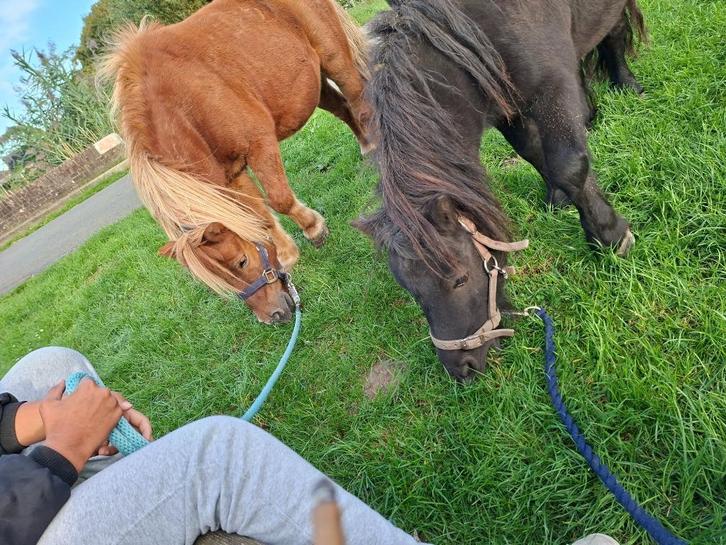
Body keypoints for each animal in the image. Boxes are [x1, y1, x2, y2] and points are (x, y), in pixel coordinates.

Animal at [100, 0, 370, 324]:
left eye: (241, 262)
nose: (274, 316)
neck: (186, 106)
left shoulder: (259, 145)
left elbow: (278, 199)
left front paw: (314, 229)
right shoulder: (231, 175)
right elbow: (258, 217)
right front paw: (288, 255)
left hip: (334, 59)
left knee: (358, 98)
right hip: (313, 81)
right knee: (343, 108)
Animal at [355, 0, 646, 381]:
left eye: (460, 280)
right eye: (411, 290)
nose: (462, 368)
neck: (473, 25)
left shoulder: (551, 89)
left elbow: (570, 166)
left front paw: (609, 236)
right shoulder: (506, 103)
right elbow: (532, 150)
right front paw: (558, 198)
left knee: (615, 32)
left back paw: (627, 85)